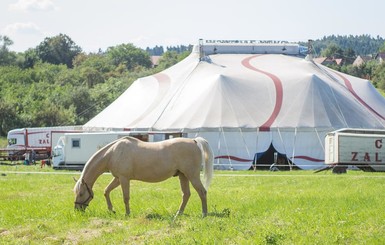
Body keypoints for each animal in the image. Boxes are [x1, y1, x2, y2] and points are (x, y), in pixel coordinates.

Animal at [73, 136, 214, 216]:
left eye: (81, 193)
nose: (77, 210)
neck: (113, 153)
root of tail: (194, 141)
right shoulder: (118, 178)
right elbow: (106, 191)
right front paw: (111, 210)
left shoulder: (124, 179)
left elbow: (126, 197)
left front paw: (127, 214)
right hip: (183, 176)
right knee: (186, 194)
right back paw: (179, 213)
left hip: (192, 175)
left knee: (202, 192)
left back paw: (204, 213)